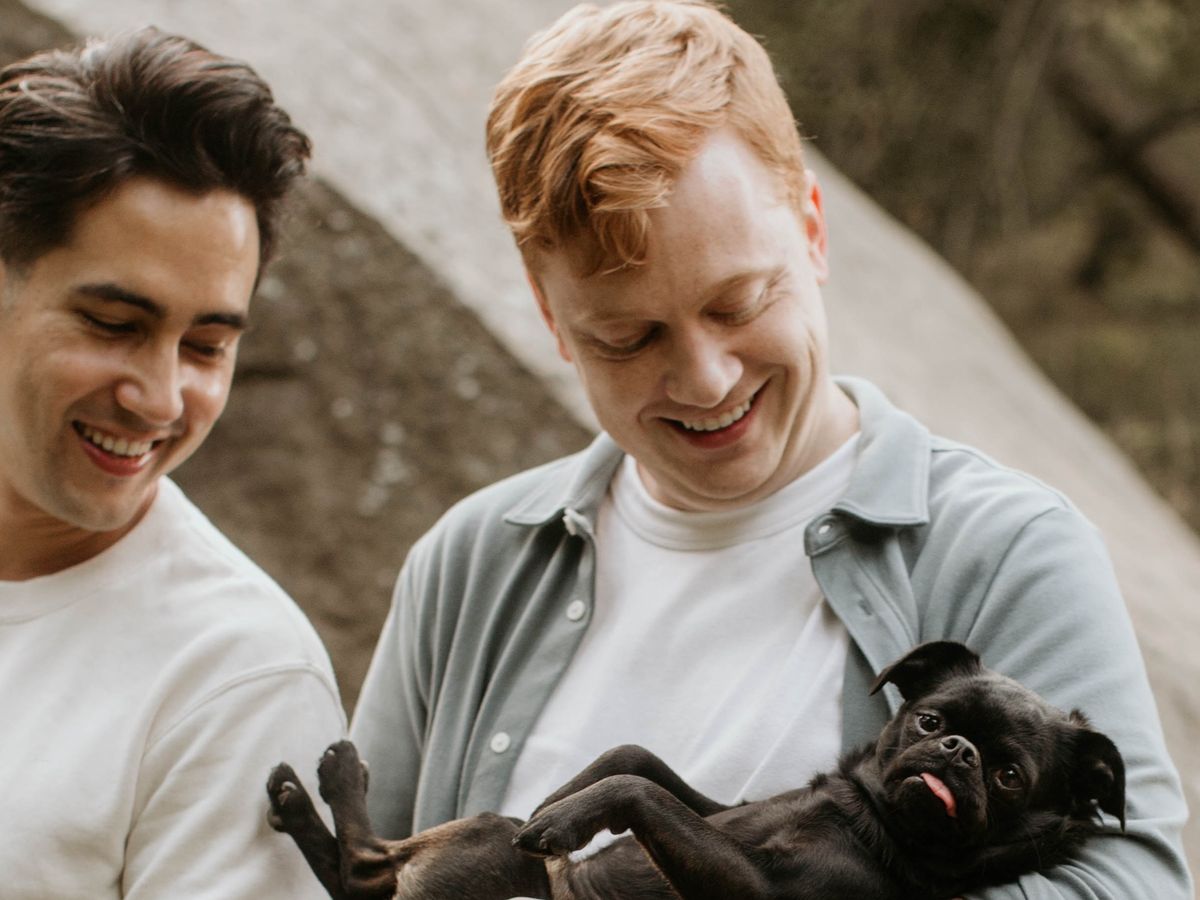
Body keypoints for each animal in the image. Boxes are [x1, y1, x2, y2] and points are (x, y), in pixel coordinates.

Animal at [266, 641, 1125, 899]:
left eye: (1009, 777)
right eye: (933, 721)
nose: (961, 753)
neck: (862, 817)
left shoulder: (751, 891)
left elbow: (639, 789)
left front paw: (574, 812)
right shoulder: (718, 813)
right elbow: (640, 761)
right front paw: (569, 794)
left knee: (362, 871)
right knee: (362, 868)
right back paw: (317, 788)